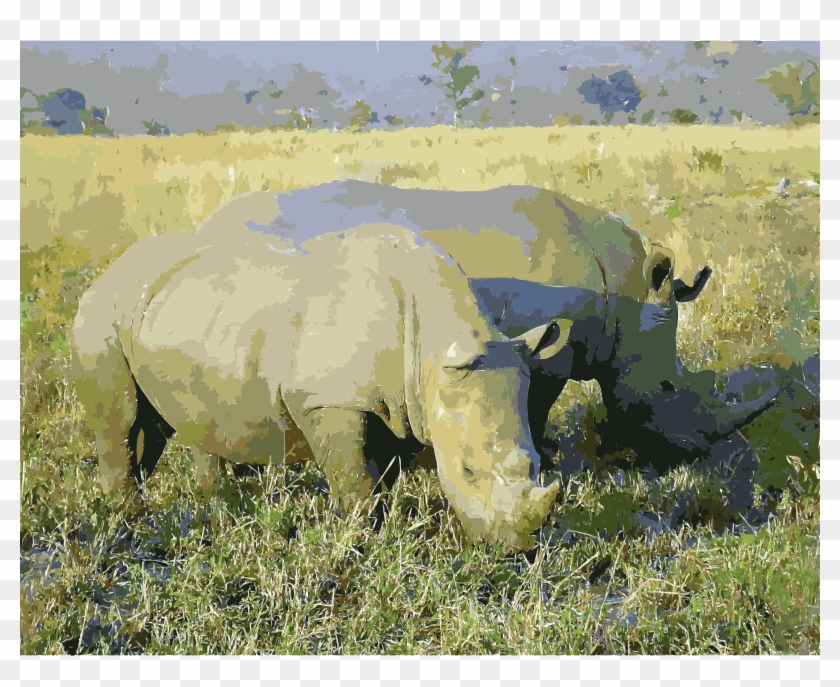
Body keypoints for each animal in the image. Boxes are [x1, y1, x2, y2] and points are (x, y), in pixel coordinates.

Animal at [70, 223, 563, 551]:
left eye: (539, 464)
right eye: (467, 470)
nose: (515, 548)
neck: (431, 347)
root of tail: (107, 270)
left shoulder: (400, 406)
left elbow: (381, 475)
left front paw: (380, 529)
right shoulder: (331, 402)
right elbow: (355, 479)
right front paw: (364, 540)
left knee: (165, 423)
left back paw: (216, 505)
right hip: (102, 313)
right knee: (122, 422)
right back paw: (132, 523)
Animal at [206, 180, 780, 497]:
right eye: (665, 389)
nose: (690, 459)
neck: (624, 293)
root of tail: (205, 226)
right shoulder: (552, 350)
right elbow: (537, 409)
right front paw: (543, 463)